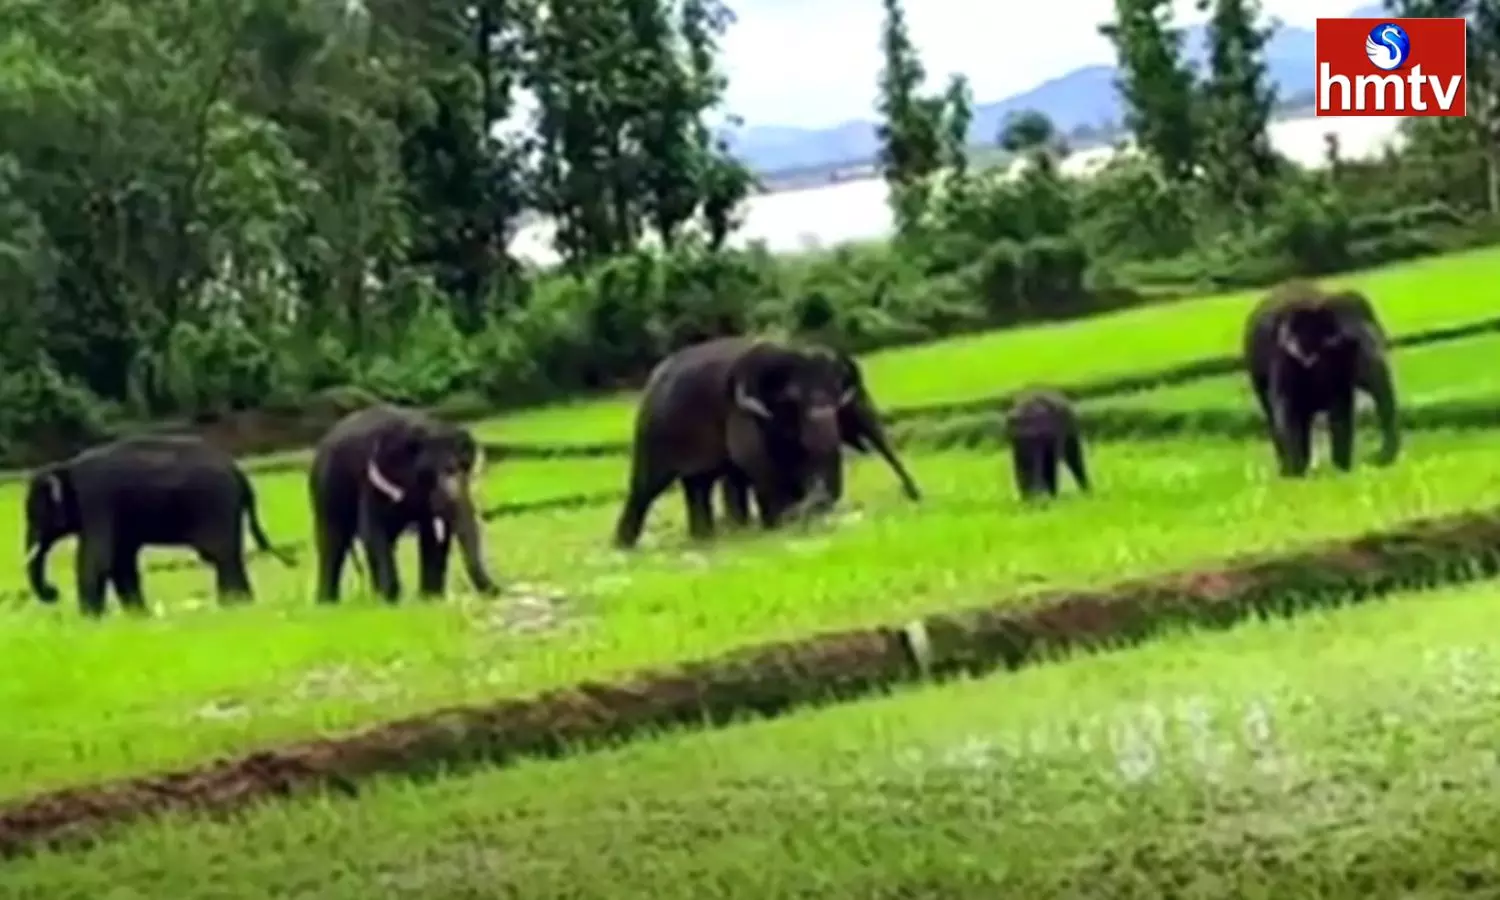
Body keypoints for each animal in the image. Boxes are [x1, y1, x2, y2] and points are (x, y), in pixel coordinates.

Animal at [23, 434, 294, 616]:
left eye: (35, 515)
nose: (53, 592)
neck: (65, 467)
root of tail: (240, 474)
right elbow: (120, 561)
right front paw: (137, 616)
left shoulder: (96, 500)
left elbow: (98, 557)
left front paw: (90, 619)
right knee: (228, 556)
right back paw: (241, 604)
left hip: (216, 505)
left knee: (220, 555)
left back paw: (232, 605)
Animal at [309, 404, 499, 603]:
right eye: (427, 473)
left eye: (465, 466)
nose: (497, 590)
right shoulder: (371, 480)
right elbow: (373, 531)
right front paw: (391, 598)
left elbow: (434, 536)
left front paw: (430, 597)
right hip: (323, 492)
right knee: (333, 541)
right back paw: (327, 601)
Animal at [612, 336, 855, 549]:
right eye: (792, 398)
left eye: (836, 393)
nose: (819, 502)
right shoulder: (739, 413)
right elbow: (757, 464)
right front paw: (780, 523)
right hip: (651, 432)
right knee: (646, 487)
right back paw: (623, 546)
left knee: (699, 484)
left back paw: (706, 537)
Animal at [1243, 280, 1399, 477]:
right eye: (1349, 344)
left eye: (1382, 339)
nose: (1373, 457)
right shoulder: (1282, 358)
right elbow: (1286, 411)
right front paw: (1296, 475)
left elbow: (1340, 413)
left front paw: (1342, 471)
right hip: (1255, 375)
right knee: (1272, 414)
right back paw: (1288, 470)